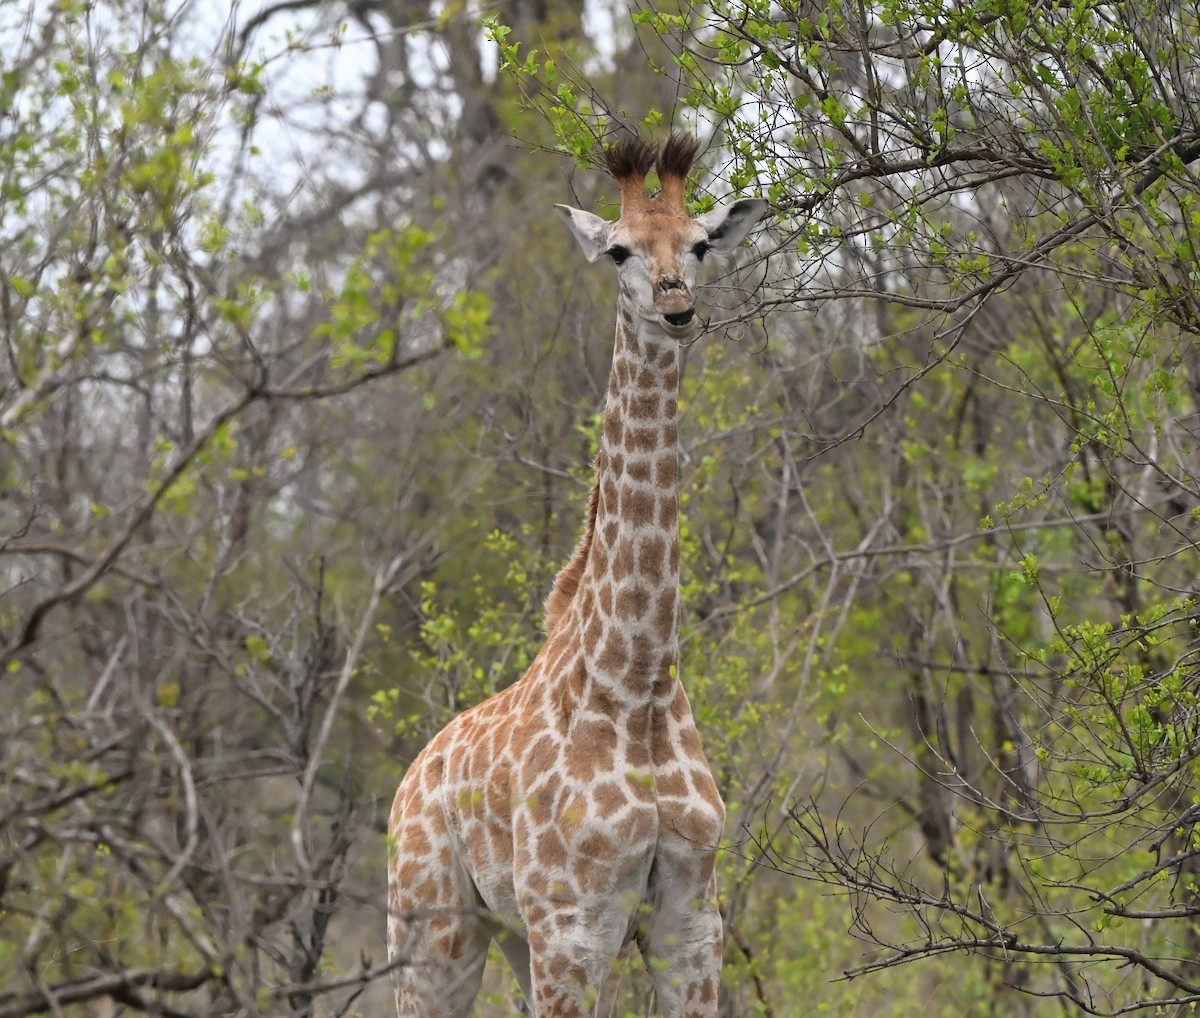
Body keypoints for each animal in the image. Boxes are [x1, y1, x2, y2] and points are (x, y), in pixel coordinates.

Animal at [387, 132, 767, 1018]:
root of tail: (411, 777)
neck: (637, 681)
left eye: (701, 243)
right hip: (433, 930)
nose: (675, 306)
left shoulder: (691, 923)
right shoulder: (574, 927)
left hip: (509, 936)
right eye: (619, 250)